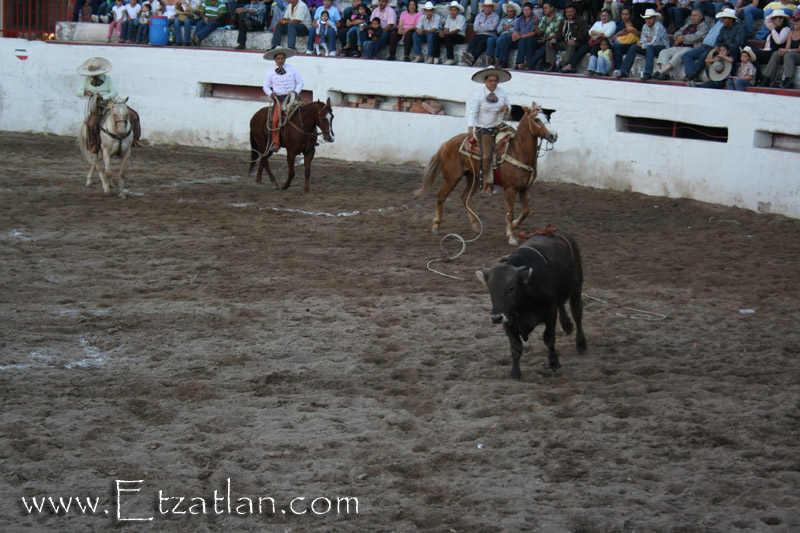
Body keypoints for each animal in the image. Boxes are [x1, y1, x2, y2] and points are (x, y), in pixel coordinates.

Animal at [416, 102, 558, 245]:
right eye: (536, 119)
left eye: (547, 117)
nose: (554, 135)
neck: (518, 151)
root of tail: (447, 143)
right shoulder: (510, 189)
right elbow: (509, 212)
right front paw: (511, 237)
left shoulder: (525, 188)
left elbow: (526, 211)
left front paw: (514, 225)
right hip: (452, 178)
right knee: (441, 196)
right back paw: (436, 225)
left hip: (473, 177)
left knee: (465, 197)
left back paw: (475, 224)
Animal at [476, 226, 587, 380]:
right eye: (490, 288)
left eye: (511, 288)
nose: (496, 318)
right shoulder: (507, 320)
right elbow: (516, 347)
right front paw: (515, 373)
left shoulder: (550, 313)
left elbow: (549, 339)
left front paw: (554, 363)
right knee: (561, 304)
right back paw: (567, 325)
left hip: (577, 285)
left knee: (577, 313)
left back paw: (581, 343)